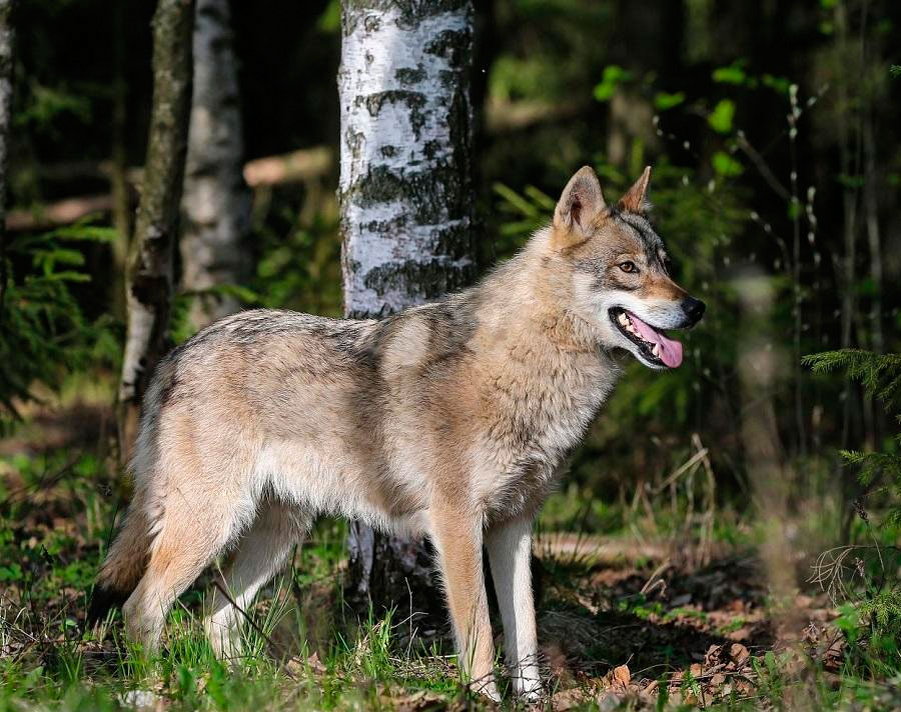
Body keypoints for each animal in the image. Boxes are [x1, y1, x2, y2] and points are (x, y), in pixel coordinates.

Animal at [91, 165, 708, 700]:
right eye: (628, 268)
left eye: (665, 263)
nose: (696, 307)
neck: (527, 365)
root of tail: (176, 354)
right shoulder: (456, 524)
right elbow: (480, 636)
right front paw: (483, 700)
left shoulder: (515, 525)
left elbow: (525, 633)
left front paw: (532, 702)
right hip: (212, 524)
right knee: (142, 608)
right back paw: (153, 690)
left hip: (274, 536)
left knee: (215, 619)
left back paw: (244, 690)